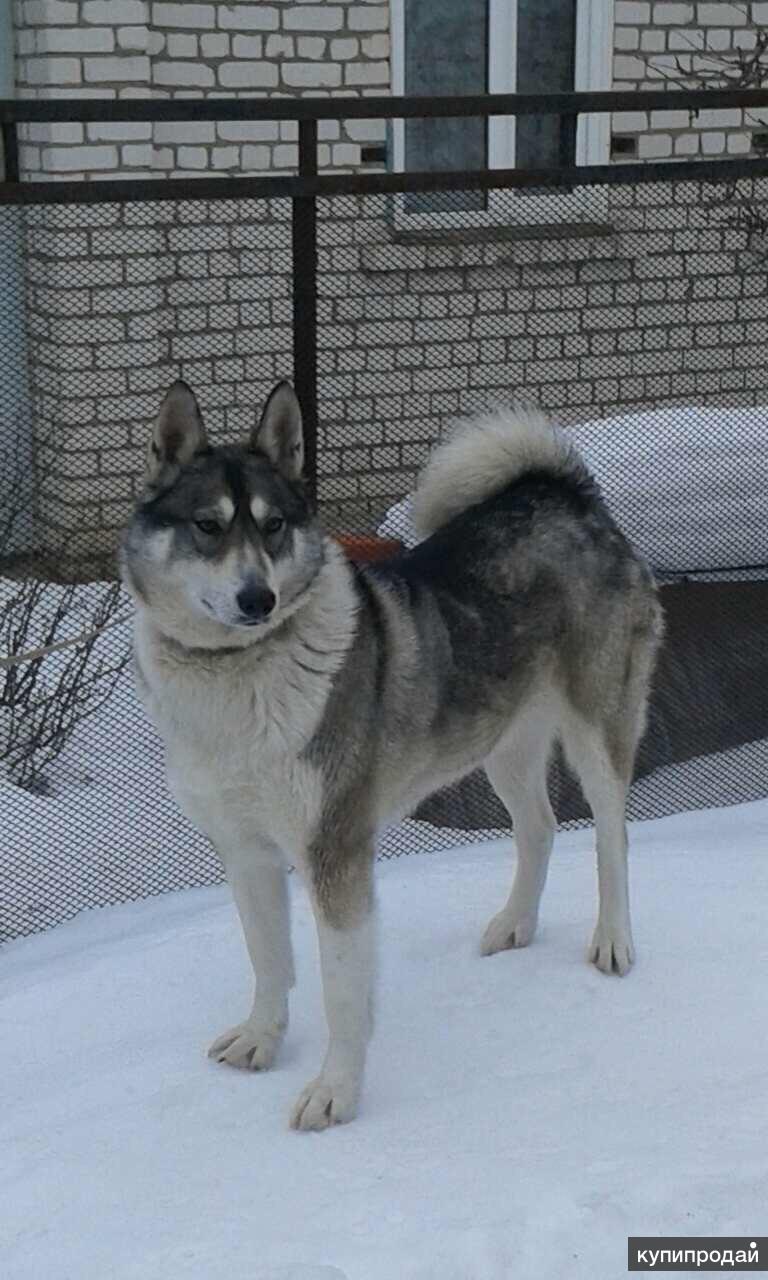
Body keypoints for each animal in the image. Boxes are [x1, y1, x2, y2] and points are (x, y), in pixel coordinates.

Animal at [118, 378, 660, 1131]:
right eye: (207, 526)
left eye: (274, 526)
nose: (259, 598)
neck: (236, 673)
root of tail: (565, 494)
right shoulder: (246, 851)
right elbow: (268, 960)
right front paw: (261, 1041)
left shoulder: (335, 852)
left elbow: (341, 991)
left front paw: (335, 1094)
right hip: (502, 743)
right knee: (540, 828)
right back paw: (515, 926)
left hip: (596, 728)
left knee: (612, 835)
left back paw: (612, 941)